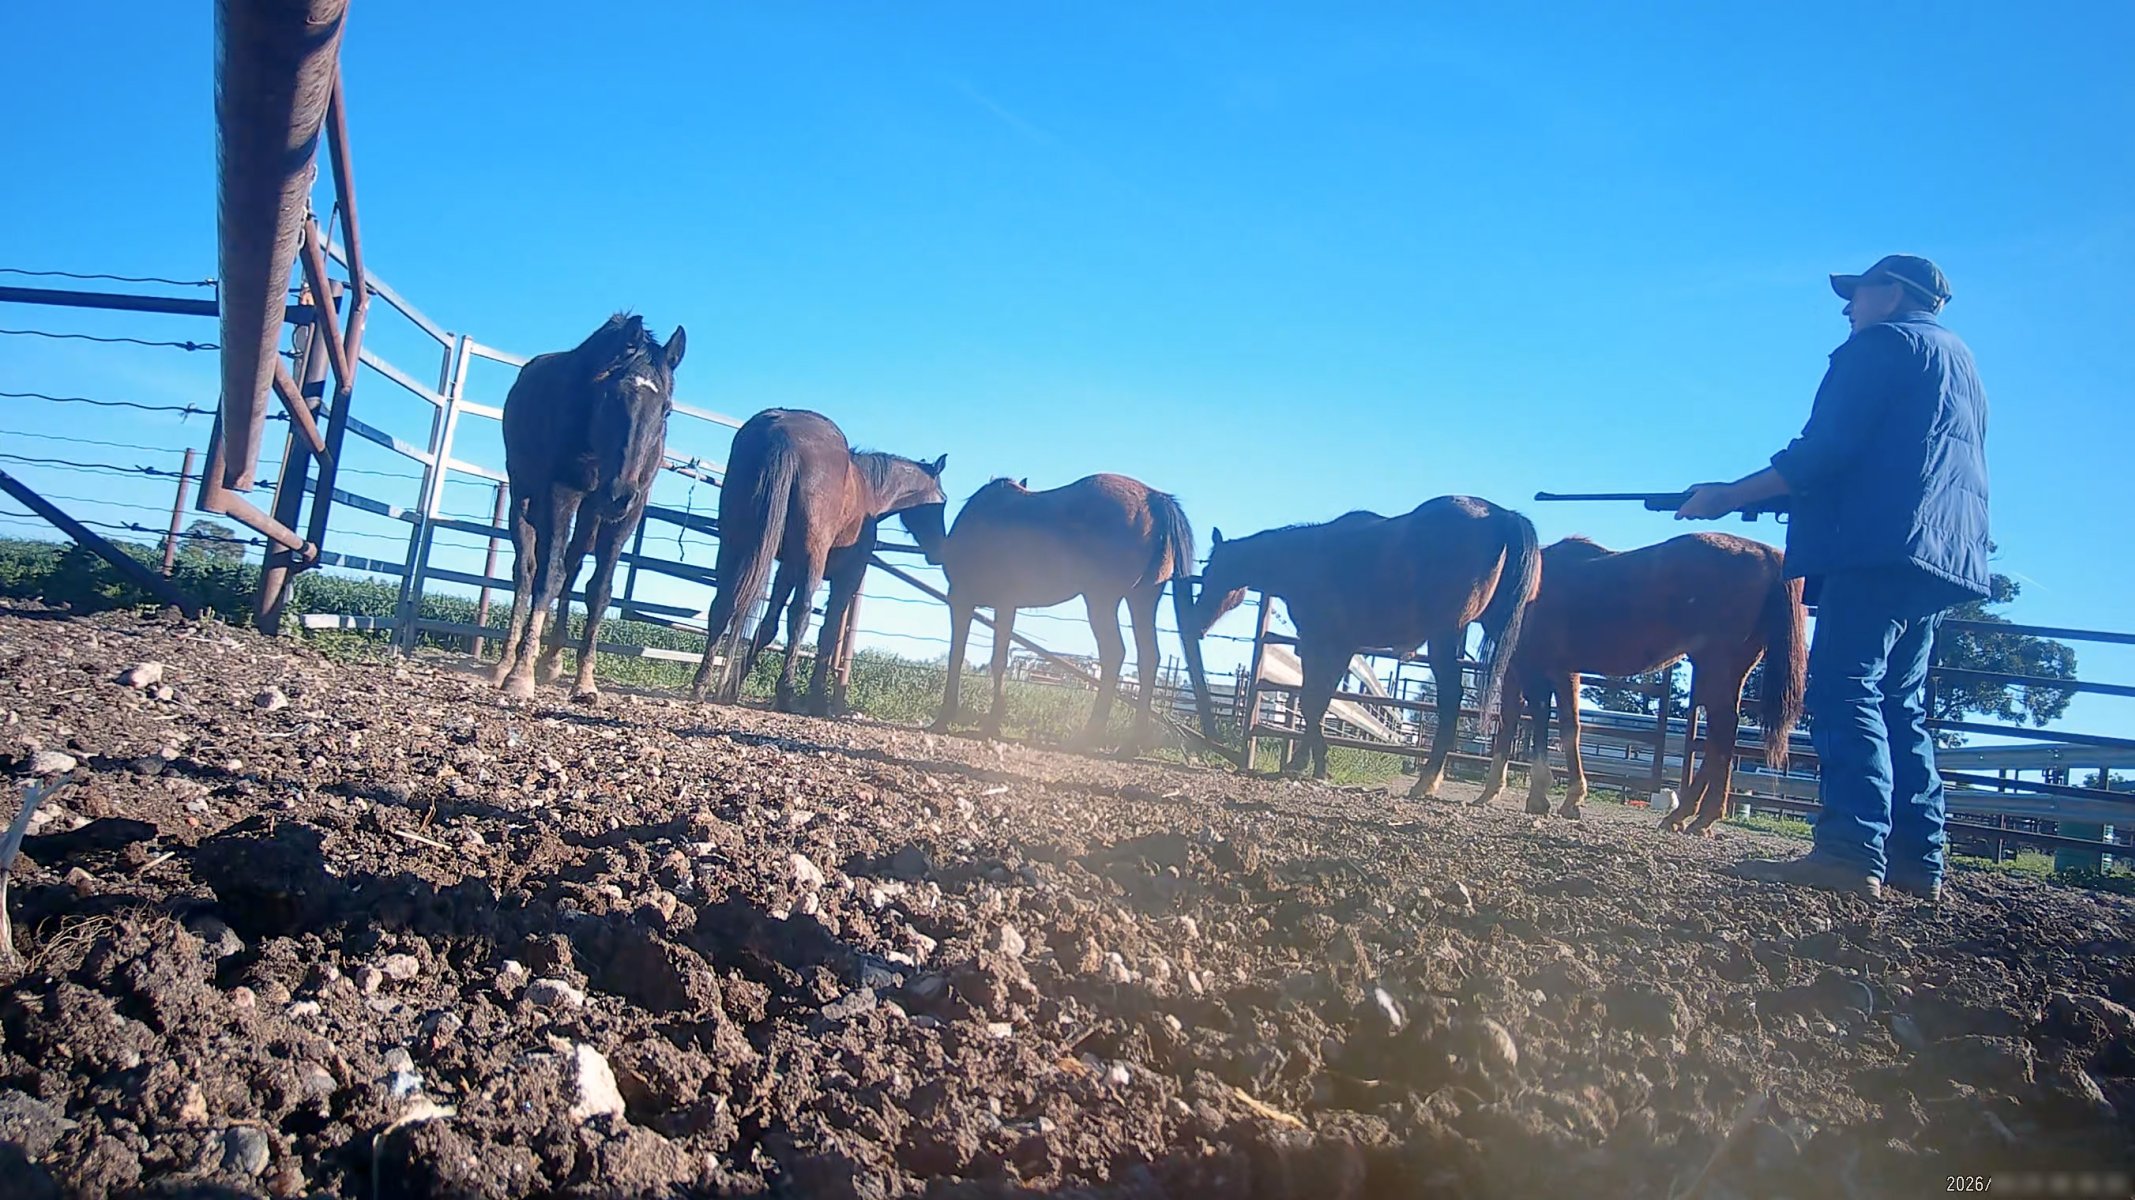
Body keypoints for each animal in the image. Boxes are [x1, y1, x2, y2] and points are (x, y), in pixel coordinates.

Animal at [490, 314, 686, 702]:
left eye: (666, 409)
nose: (619, 493)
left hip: (591, 514)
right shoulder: (560, 493)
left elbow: (599, 590)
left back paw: (552, 661)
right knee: (527, 571)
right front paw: (521, 673)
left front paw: (584, 680)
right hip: (524, 496)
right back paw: (506, 662)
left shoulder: (628, 512)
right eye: (611, 396)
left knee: (573, 566)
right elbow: (547, 577)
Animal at [690, 409, 948, 714]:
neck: (868, 490)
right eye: (942, 501)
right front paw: (817, 698)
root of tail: (781, 433)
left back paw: (701, 684)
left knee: (723, 604)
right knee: (800, 613)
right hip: (811, 557)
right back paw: (786, 693)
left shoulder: (788, 568)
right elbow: (827, 631)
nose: (939, 550)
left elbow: (768, 625)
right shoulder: (846, 575)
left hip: (733, 543)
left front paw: (736, 685)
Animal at [929, 474, 1216, 753]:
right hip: (1142, 600)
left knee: (1114, 654)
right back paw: (1131, 743)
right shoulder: (1005, 605)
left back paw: (1090, 734)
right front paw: (992, 722)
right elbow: (997, 661)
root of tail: (1154, 499)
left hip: (1102, 599)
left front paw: (946, 718)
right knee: (1148, 658)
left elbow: (959, 656)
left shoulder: (962, 600)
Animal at [1188, 495, 1541, 793]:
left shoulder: (1320, 642)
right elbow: (1320, 701)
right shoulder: (1341, 647)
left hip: (1445, 636)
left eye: (1212, 569)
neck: (1306, 559)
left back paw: (1427, 782)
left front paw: (1312, 767)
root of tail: (1502, 516)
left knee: (1452, 698)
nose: (1196, 623)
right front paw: (1306, 764)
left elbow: (1311, 702)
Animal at [1471, 533, 1806, 834]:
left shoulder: (1535, 669)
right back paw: (1683, 815)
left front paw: (1536, 798)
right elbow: (1563, 727)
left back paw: (1699, 818)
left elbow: (1536, 724)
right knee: (1717, 738)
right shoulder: (1560, 671)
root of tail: (1769, 555)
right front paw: (1564, 799)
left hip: (1718, 667)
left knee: (1721, 733)